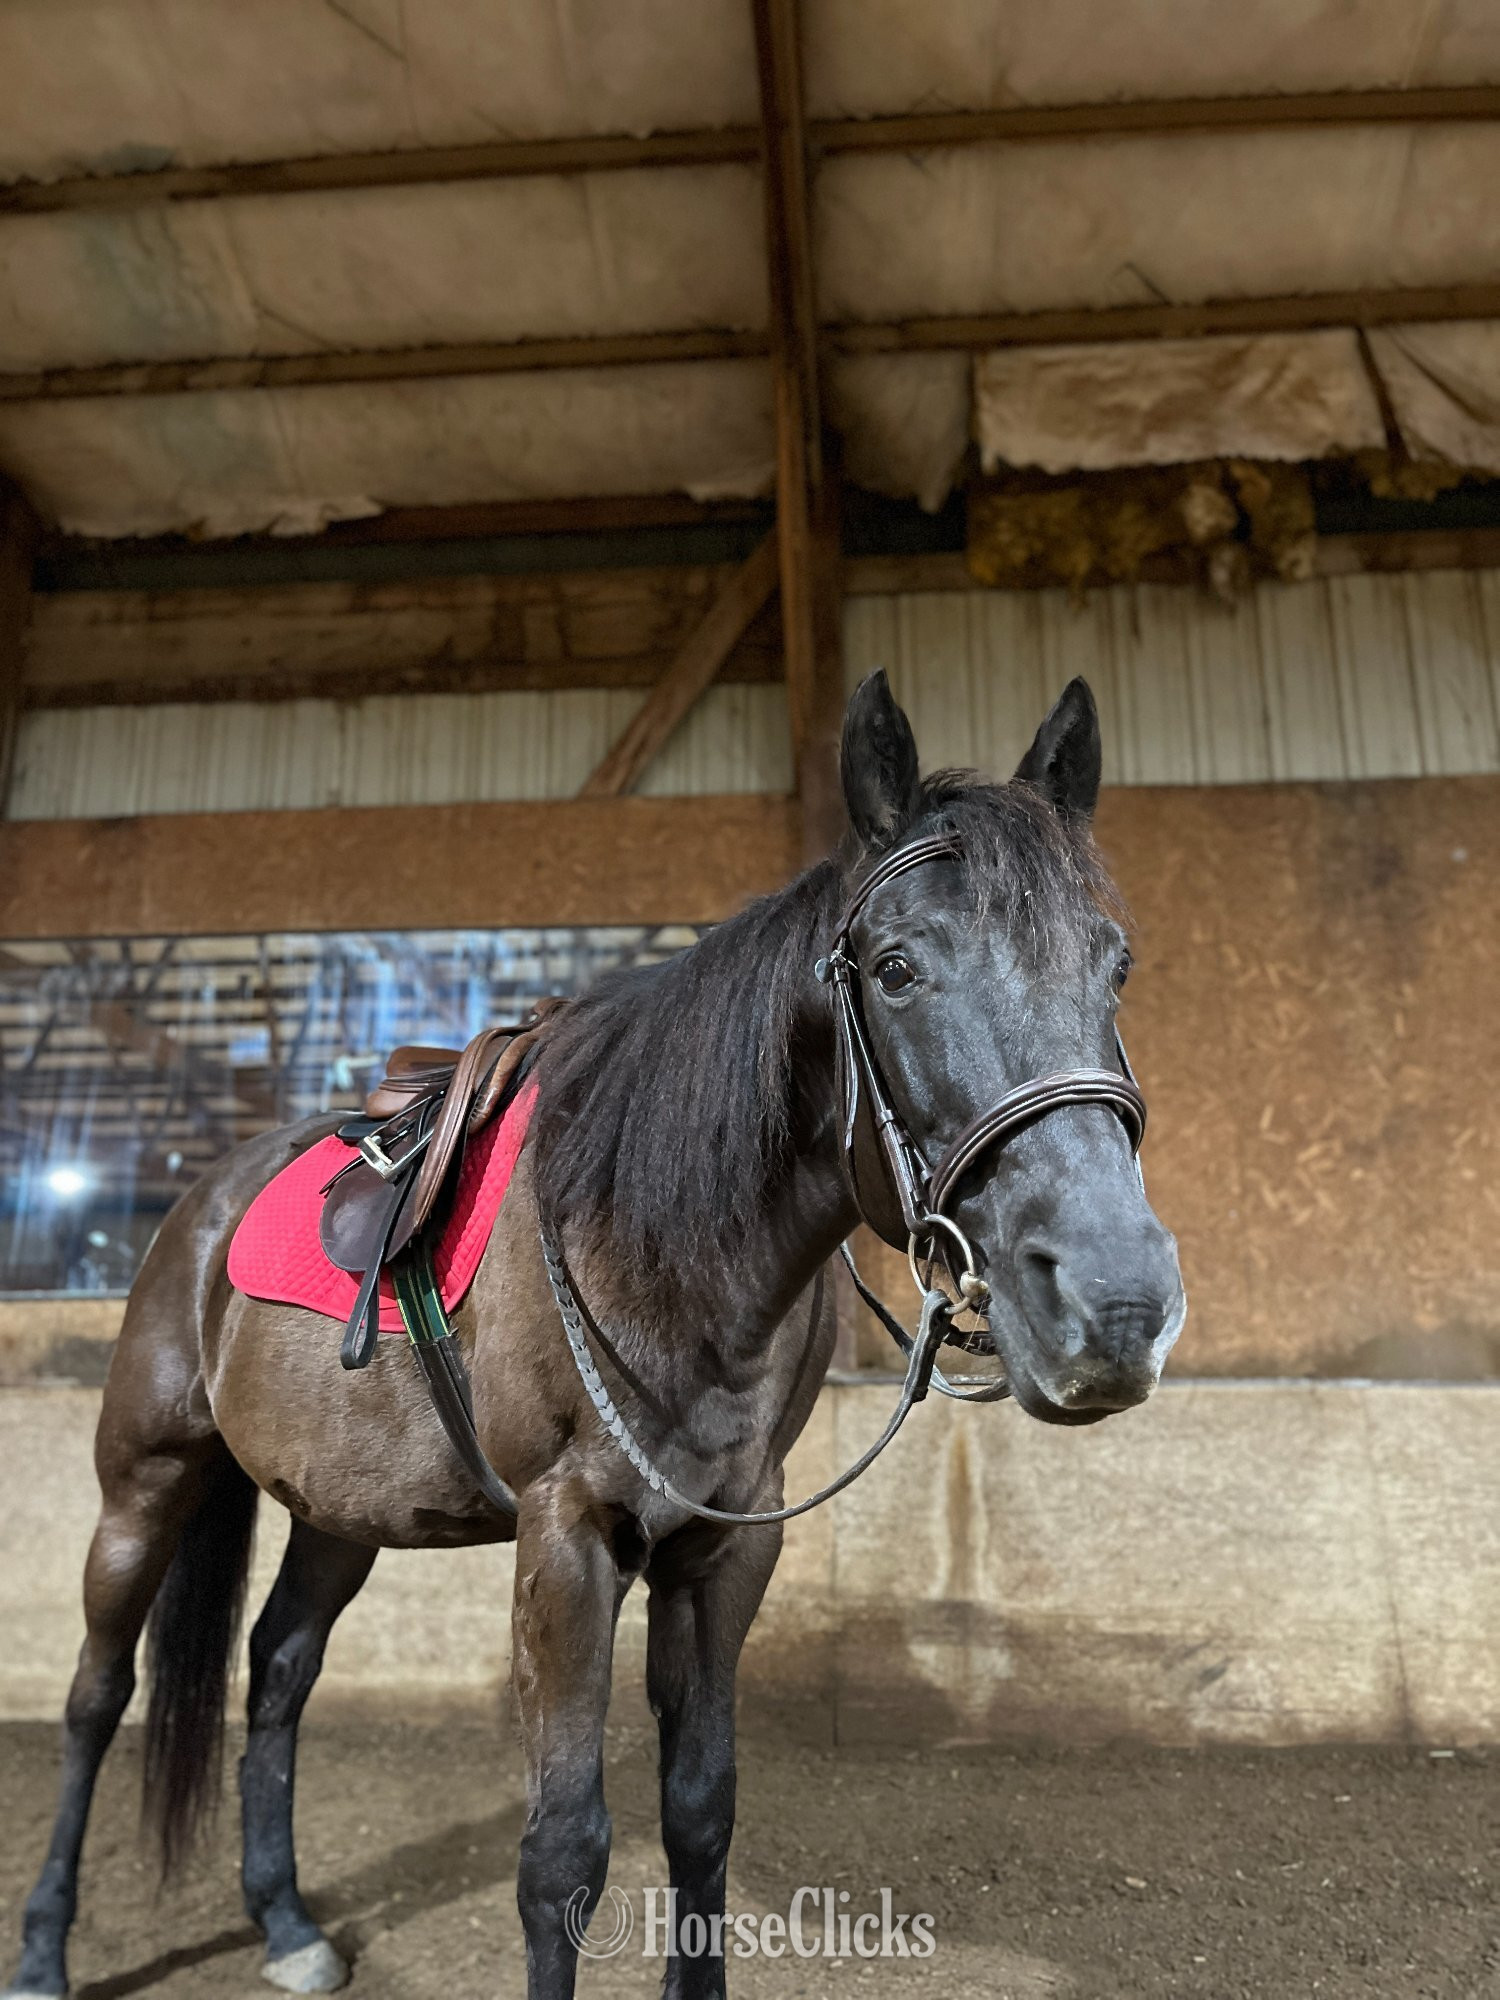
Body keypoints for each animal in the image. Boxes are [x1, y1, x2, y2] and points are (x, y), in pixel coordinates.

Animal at [5, 670, 1185, 2000]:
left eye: (1115, 965)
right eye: (894, 968)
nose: (1115, 1299)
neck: (660, 1238)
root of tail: (199, 1201)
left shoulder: (723, 1548)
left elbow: (701, 1806)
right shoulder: (567, 1538)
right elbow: (562, 1851)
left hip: (337, 1509)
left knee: (279, 1666)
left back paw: (289, 1922)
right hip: (143, 1480)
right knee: (97, 1692)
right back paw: (44, 1944)